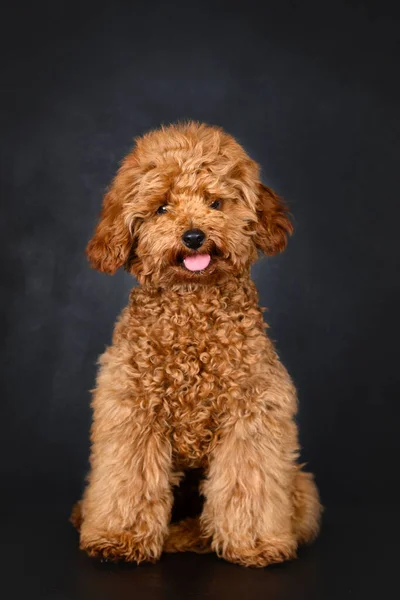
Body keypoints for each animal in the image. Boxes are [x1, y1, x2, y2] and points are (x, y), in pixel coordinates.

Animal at [72, 120, 322, 568]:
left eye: (215, 202)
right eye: (162, 208)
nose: (193, 236)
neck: (191, 311)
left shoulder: (252, 411)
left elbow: (249, 481)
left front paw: (253, 543)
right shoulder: (132, 409)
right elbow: (128, 479)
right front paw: (119, 537)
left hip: (301, 484)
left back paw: (193, 535)